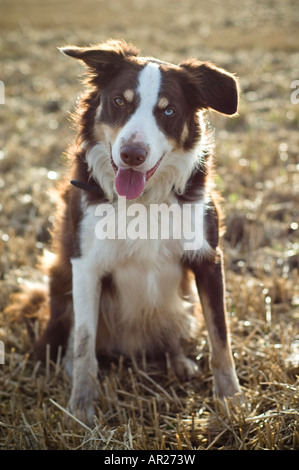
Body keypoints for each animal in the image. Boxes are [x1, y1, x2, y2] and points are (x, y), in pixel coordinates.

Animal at [35, 39, 241, 422]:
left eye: (169, 111)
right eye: (120, 101)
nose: (132, 154)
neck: (144, 199)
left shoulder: (208, 258)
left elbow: (221, 335)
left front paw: (233, 401)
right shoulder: (85, 264)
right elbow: (84, 342)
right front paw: (81, 406)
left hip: (182, 303)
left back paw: (178, 361)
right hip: (59, 282)